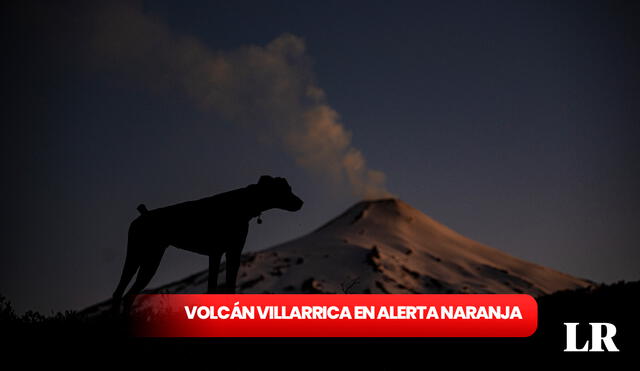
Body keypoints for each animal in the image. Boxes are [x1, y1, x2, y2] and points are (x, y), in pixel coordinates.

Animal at [112, 177, 302, 314]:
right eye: (285, 189)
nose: (301, 202)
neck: (242, 204)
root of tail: (143, 215)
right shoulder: (217, 253)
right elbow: (213, 287)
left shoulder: (233, 253)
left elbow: (229, 286)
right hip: (139, 257)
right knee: (120, 294)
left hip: (148, 260)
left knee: (126, 295)